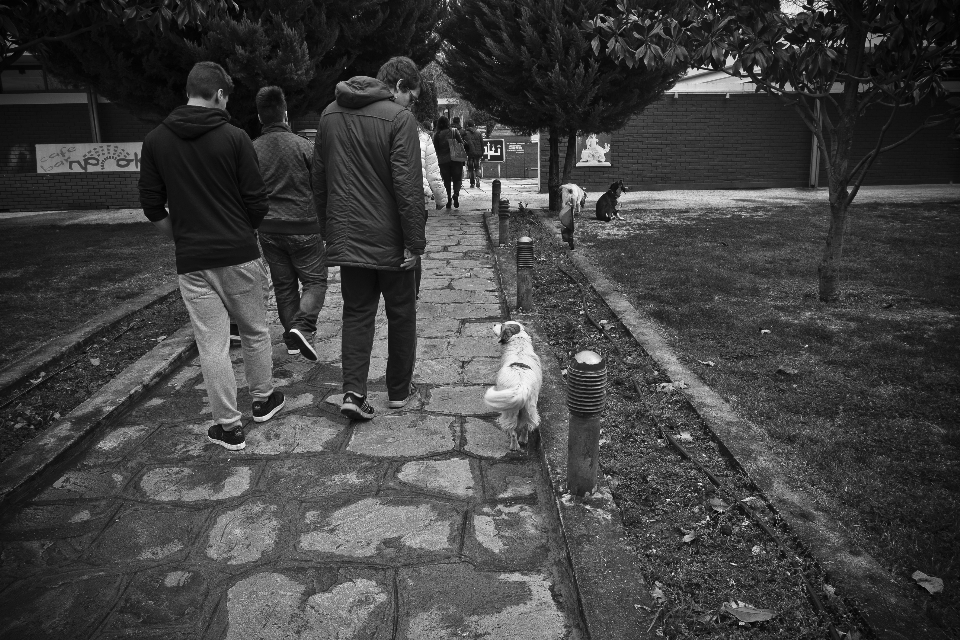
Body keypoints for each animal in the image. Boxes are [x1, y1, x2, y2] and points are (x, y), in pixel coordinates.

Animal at [484, 320, 544, 450]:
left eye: (502, 326)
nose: (494, 324)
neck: (518, 342)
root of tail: (521, 387)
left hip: (509, 413)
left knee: (512, 432)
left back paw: (514, 446)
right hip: (529, 410)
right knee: (526, 427)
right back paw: (523, 440)